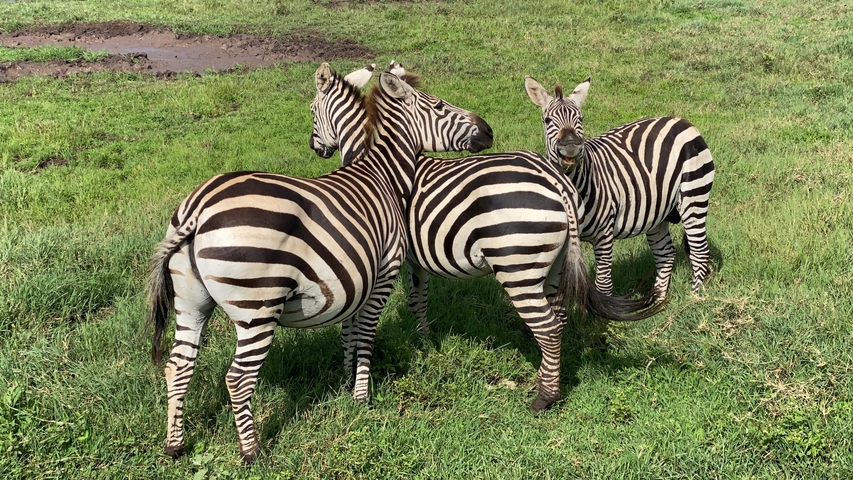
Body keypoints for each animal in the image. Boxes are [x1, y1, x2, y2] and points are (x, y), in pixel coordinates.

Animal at [147, 64, 493, 463]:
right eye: (438, 105)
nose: (489, 130)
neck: (383, 175)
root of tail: (199, 209)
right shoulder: (383, 274)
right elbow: (366, 335)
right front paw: (361, 397)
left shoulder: (355, 279)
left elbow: (350, 330)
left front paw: (345, 379)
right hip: (257, 307)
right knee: (237, 378)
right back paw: (252, 451)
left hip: (191, 302)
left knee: (178, 366)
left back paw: (175, 444)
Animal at [311, 64, 664, 414]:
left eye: (312, 111)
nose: (316, 147)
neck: (381, 165)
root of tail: (556, 181)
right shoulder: (416, 257)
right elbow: (418, 300)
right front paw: (425, 342)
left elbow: (357, 319)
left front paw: (349, 371)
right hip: (555, 263)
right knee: (557, 317)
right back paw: (544, 373)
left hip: (517, 267)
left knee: (548, 326)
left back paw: (544, 397)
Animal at [525, 76, 715, 301]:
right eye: (547, 121)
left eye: (581, 118)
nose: (571, 146)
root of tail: (682, 121)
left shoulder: (604, 234)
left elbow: (603, 285)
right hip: (657, 211)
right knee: (666, 253)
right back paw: (658, 301)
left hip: (694, 195)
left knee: (699, 251)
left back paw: (695, 299)